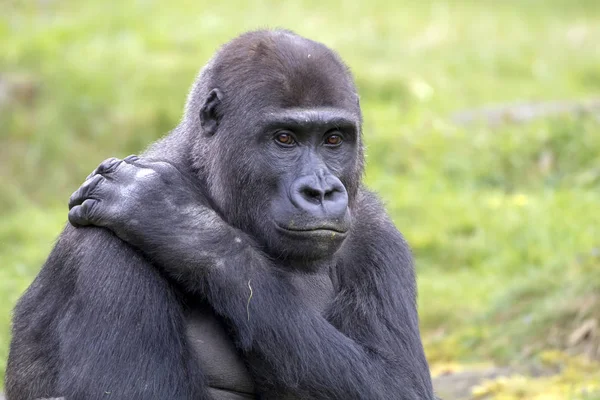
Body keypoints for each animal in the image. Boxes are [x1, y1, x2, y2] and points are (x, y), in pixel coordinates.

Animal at [4, 28, 436, 400]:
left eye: (334, 139)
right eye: (284, 139)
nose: (321, 192)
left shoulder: (377, 234)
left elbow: (398, 384)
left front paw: (181, 226)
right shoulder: (108, 248)